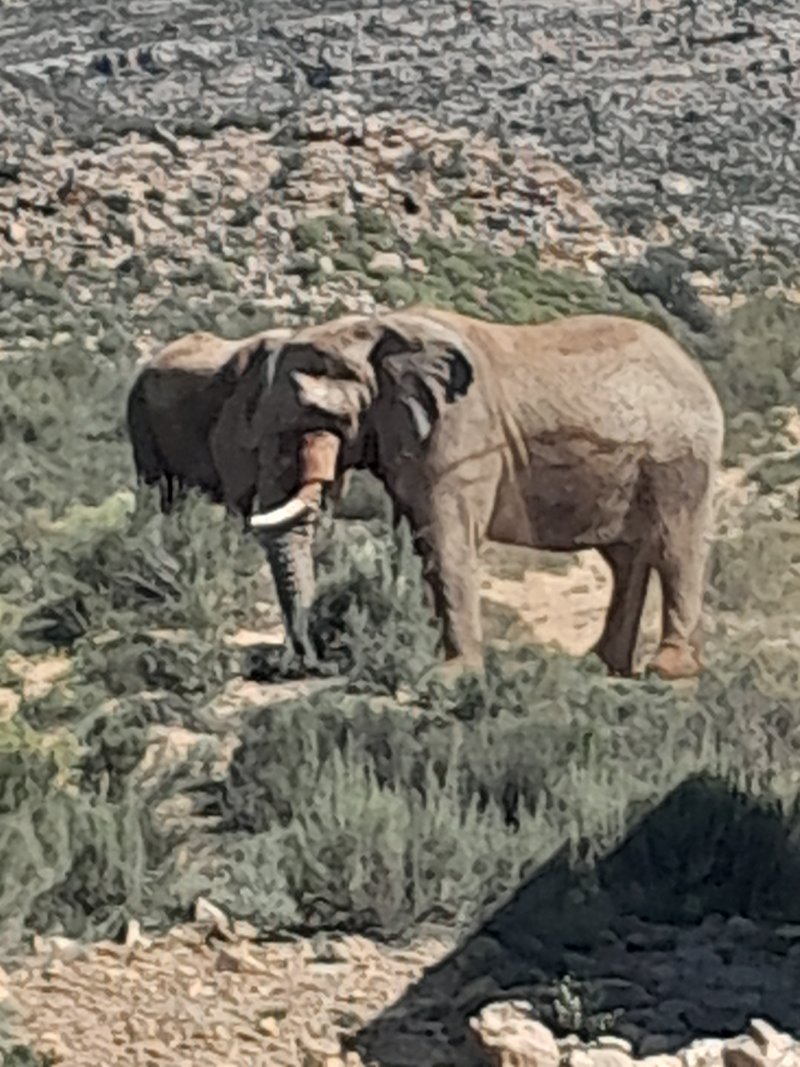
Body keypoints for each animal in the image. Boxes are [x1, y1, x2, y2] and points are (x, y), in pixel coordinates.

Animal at [244, 305, 725, 681]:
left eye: (317, 412)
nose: (312, 663)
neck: (381, 328)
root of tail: (699, 374)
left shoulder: (461, 432)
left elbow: (447, 541)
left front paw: (450, 676)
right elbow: (422, 542)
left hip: (680, 459)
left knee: (675, 548)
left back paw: (668, 670)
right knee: (627, 559)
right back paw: (599, 666)